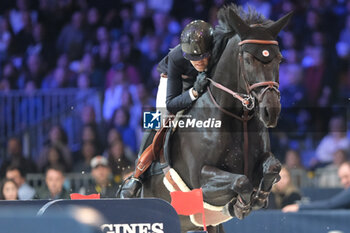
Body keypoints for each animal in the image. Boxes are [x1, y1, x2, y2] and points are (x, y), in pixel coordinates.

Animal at [141, 4, 292, 233]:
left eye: (279, 59)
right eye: (247, 60)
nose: (271, 111)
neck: (239, 118)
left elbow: (272, 167)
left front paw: (259, 198)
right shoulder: (200, 181)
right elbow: (241, 181)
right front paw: (240, 206)